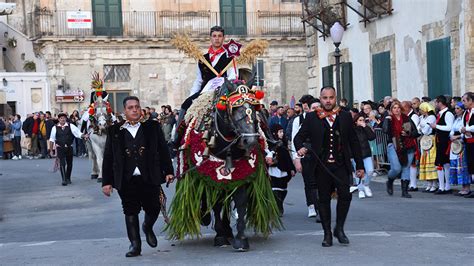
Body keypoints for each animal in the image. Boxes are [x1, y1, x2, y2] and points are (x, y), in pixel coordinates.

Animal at [167, 77, 282, 251]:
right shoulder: (212, 177)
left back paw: (228, 230)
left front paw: (241, 239)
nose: (250, 140)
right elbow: (216, 203)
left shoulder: (242, 173)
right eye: (234, 109)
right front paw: (220, 236)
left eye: (254, 109)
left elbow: (240, 201)